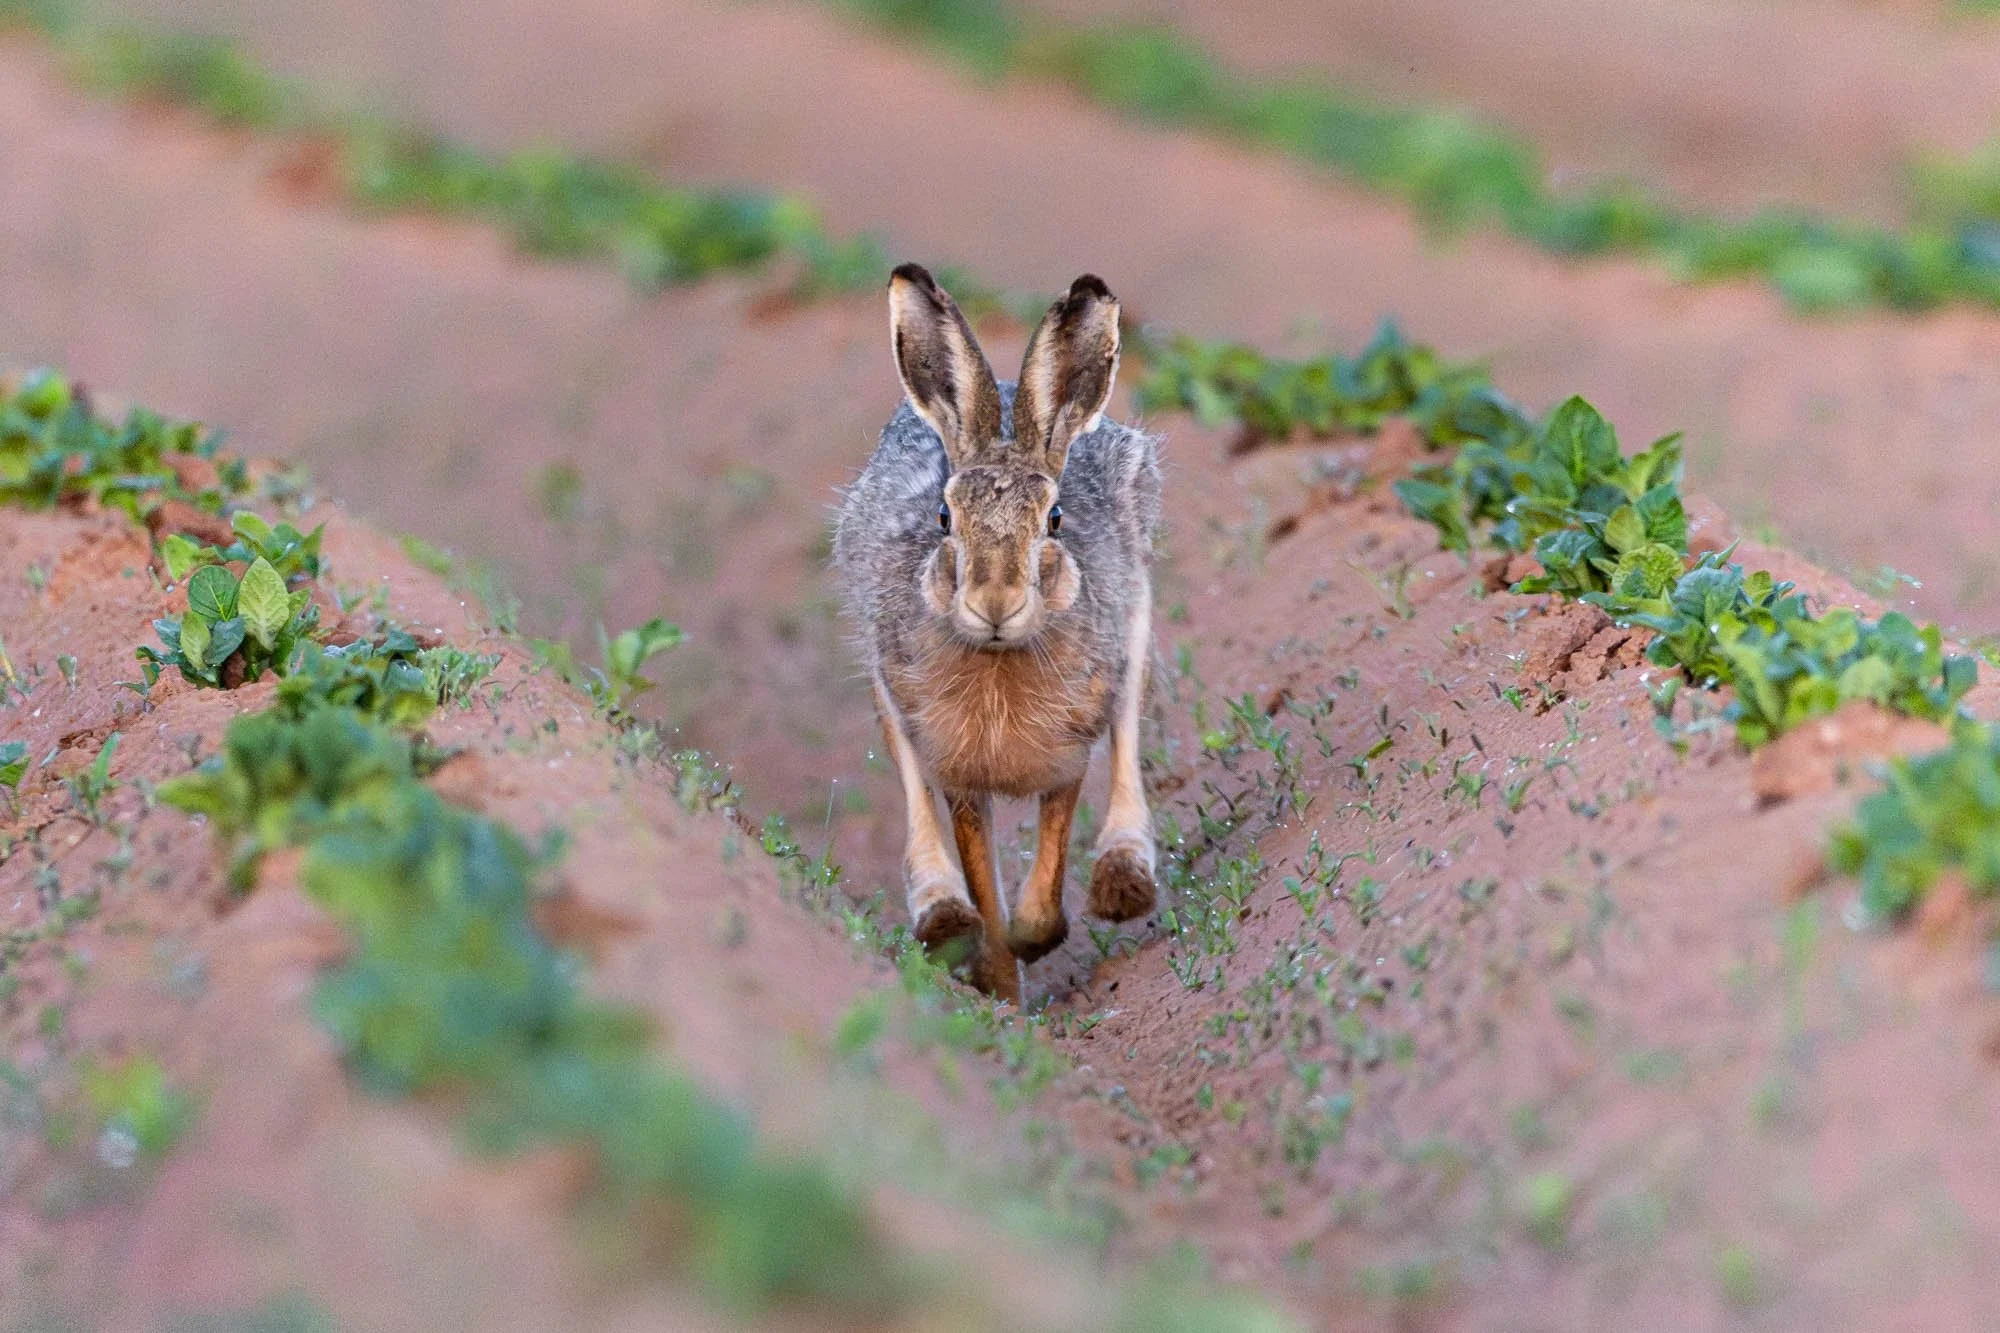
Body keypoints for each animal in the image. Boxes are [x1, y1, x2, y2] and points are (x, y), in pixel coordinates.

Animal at [833, 264, 1162, 1003]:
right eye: (944, 518)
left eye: (1056, 519)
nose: (995, 603)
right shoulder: (957, 769)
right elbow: (980, 866)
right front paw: (1000, 984)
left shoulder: (1071, 745)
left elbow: (1054, 843)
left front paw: (1033, 937)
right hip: (885, 682)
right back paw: (944, 919)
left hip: (1136, 620)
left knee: (1129, 735)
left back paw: (1125, 881)